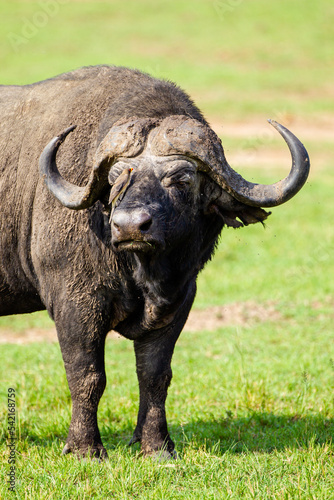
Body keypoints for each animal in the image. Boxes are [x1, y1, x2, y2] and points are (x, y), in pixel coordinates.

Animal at [0, 66, 310, 460]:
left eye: (181, 178)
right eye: (116, 177)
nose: (130, 225)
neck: (140, 272)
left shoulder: (179, 300)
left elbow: (155, 375)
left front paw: (157, 446)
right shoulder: (74, 304)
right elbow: (87, 376)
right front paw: (85, 448)